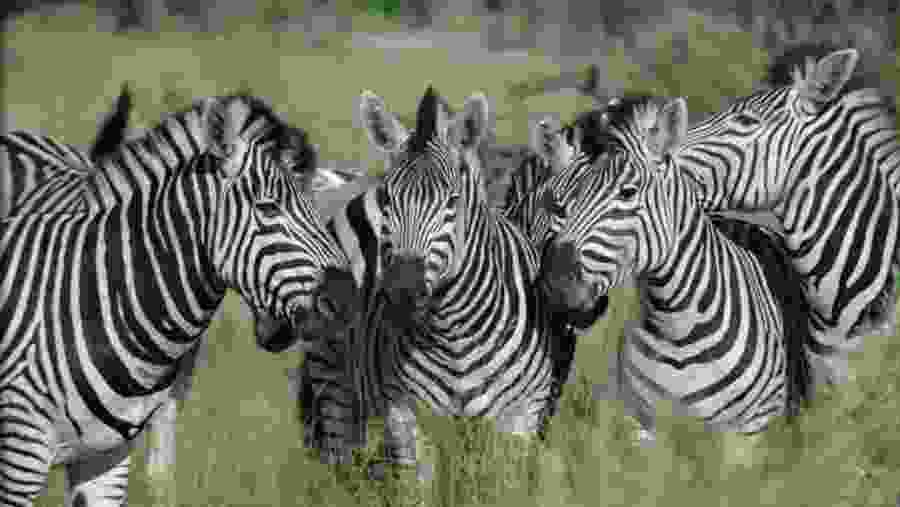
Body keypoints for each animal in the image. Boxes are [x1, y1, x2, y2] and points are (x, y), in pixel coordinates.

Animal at [0, 92, 362, 506]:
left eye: (319, 210)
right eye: (268, 208)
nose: (347, 298)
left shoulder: (109, 451)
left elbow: (160, 475)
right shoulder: (21, 448)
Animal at [534, 96, 814, 446]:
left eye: (628, 192)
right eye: (558, 206)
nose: (555, 280)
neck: (677, 325)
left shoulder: (747, 433)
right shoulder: (641, 425)